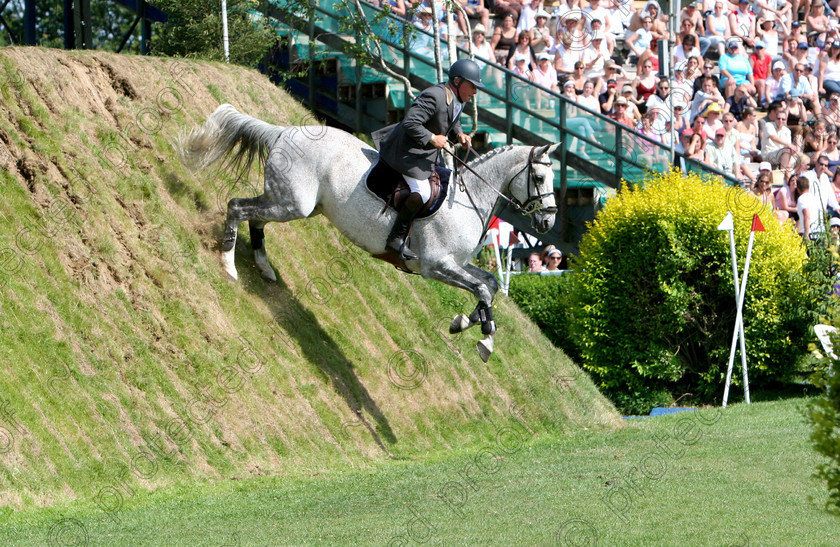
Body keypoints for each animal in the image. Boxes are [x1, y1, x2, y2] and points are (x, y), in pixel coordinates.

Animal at [176, 106, 556, 364]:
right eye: (539, 178)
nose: (548, 224)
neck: (468, 197)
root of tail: (285, 132)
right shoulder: (436, 266)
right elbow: (482, 288)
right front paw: (485, 339)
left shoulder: (456, 265)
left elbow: (488, 284)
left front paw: (465, 321)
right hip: (291, 204)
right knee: (238, 207)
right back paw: (229, 266)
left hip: (296, 205)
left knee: (255, 219)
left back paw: (264, 268)